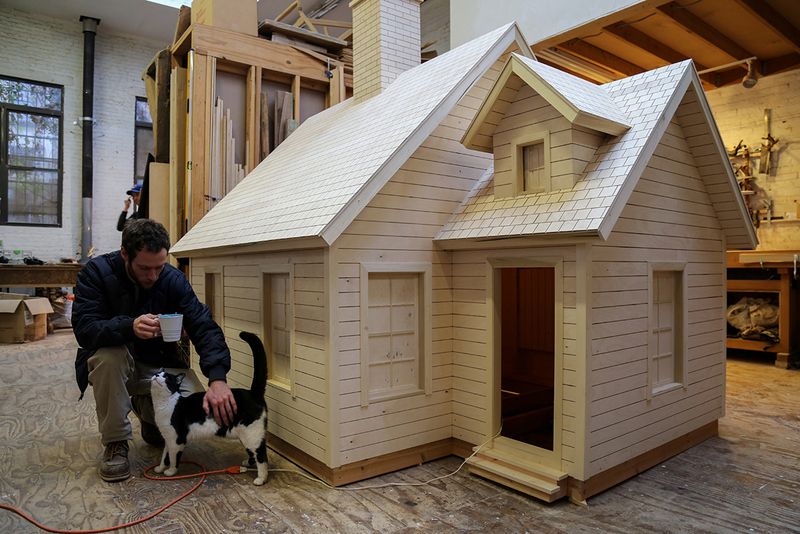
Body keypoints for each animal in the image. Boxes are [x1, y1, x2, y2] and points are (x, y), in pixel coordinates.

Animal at [147, 330, 266, 486]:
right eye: (158, 373)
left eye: (166, 377)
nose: (155, 375)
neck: (163, 404)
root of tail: (253, 393)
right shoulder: (167, 437)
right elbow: (164, 455)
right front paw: (160, 468)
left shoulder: (176, 439)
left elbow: (173, 457)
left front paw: (171, 471)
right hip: (245, 435)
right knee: (253, 452)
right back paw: (248, 463)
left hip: (252, 433)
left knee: (262, 455)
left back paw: (261, 478)